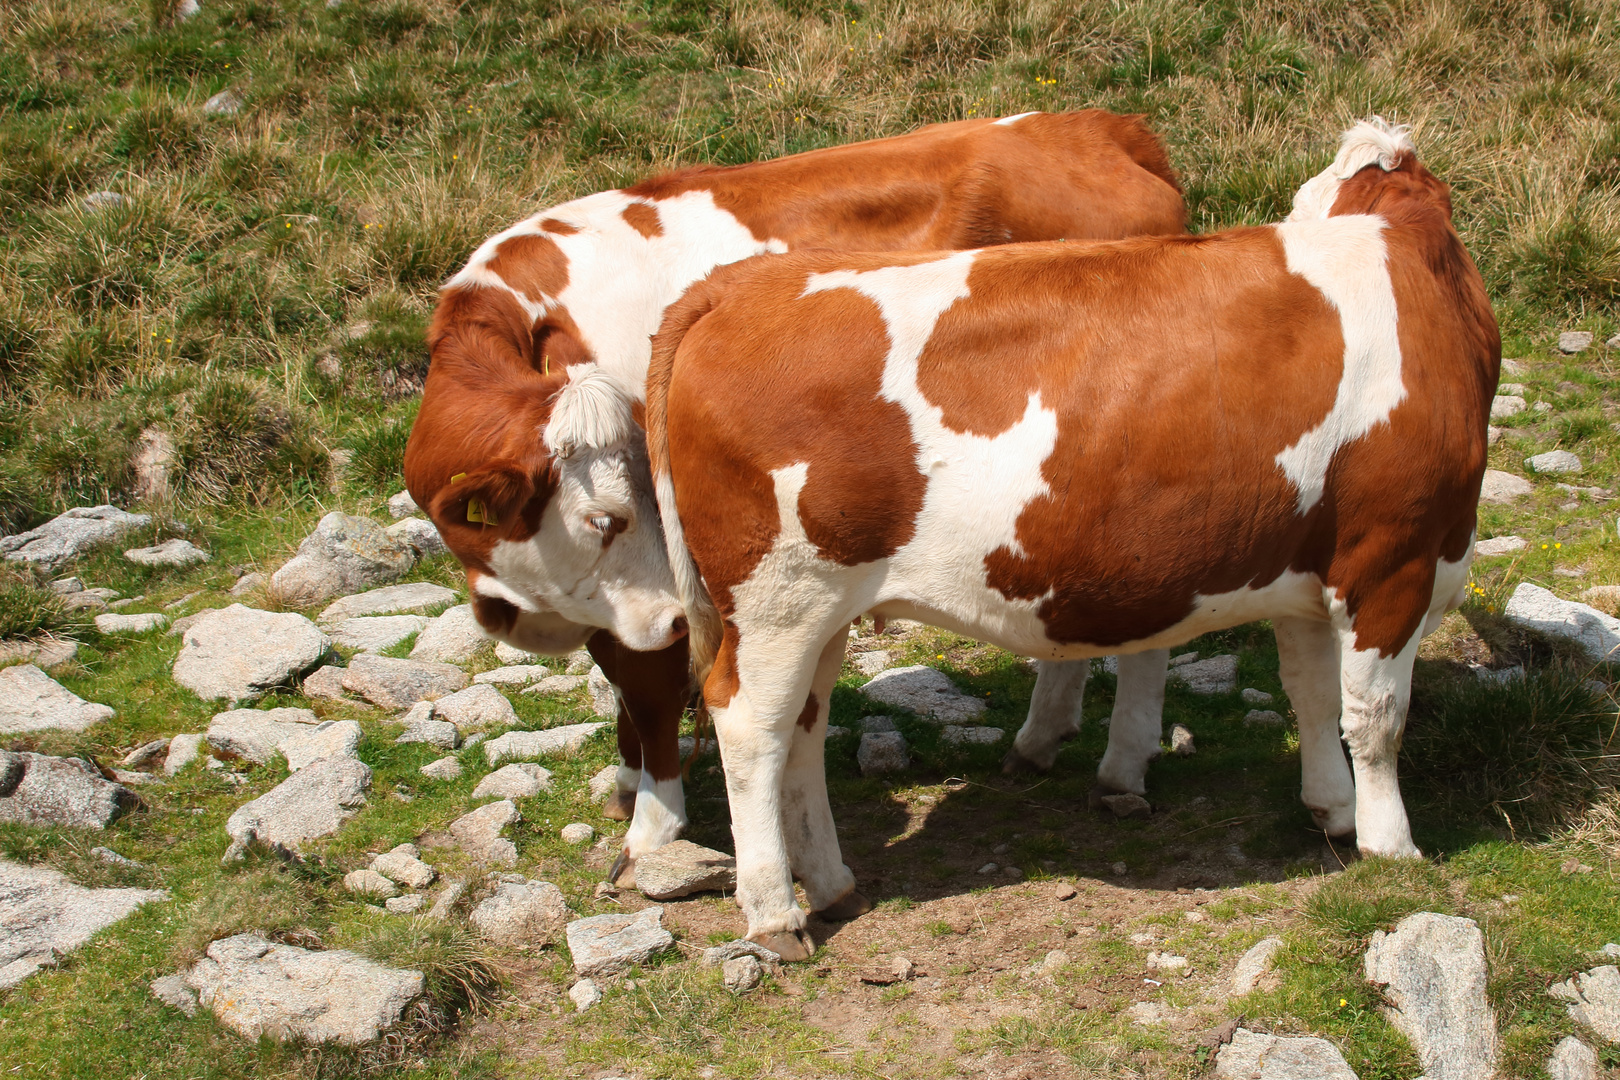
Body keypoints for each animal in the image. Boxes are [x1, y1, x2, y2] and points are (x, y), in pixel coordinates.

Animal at [405, 110, 1192, 880]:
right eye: (602, 517)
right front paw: (630, 782)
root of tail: (1098, 126)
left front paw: (655, 824)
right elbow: (623, 685)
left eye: (624, 512)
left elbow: (650, 690)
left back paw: (1118, 769)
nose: (674, 621)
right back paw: (1041, 738)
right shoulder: (607, 598)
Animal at [638, 122, 1496, 958]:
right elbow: (1377, 715)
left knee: (804, 729)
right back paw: (774, 913)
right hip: (777, 598)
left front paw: (1334, 812)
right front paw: (1393, 847)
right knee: (751, 724)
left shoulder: (1310, 569)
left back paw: (831, 881)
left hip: (820, 610)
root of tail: (734, 287)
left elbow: (1315, 697)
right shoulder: (1395, 557)